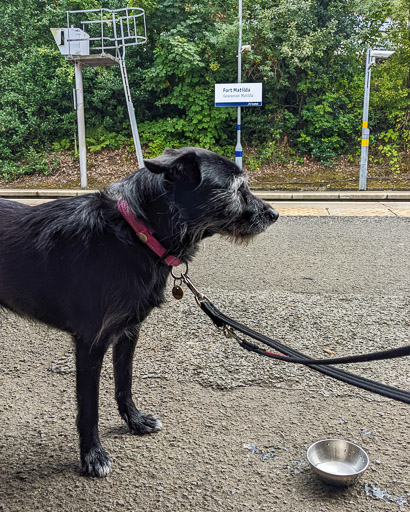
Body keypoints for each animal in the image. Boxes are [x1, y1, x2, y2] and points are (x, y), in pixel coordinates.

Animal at [0, 147, 278, 476]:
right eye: (237, 189)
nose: (274, 214)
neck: (136, 233)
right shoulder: (90, 343)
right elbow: (89, 407)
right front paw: (92, 454)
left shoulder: (128, 332)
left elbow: (125, 381)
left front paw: (134, 420)